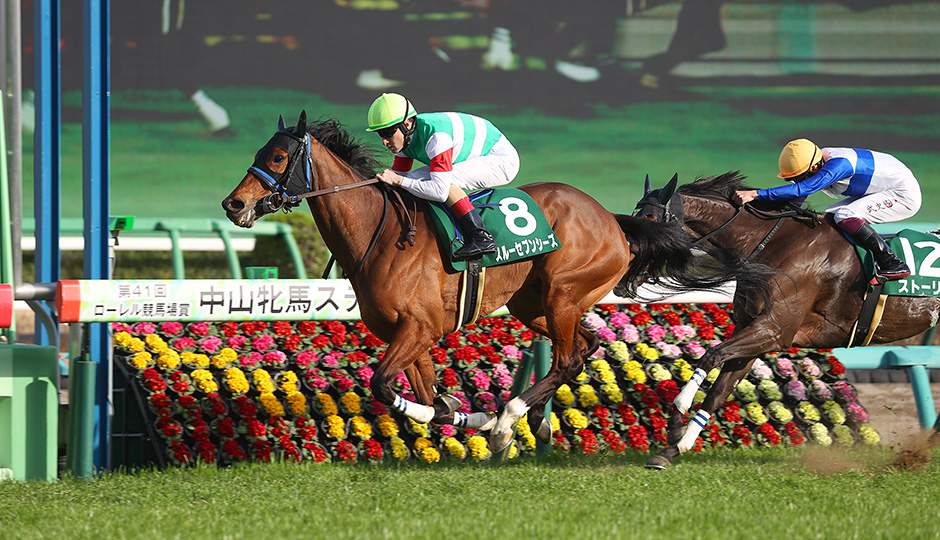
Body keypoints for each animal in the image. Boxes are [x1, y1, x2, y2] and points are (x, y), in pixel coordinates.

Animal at [221, 111, 772, 453]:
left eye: (277, 158)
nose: (233, 203)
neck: (380, 236)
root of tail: (615, 222)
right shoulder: (410, 335)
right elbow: (428, 395)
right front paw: (462, 417)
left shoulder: (418, 329)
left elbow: (383, 385)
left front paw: (483, 422)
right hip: (536, 304)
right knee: (586, 347)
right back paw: (523, 421)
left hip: (563, 292)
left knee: (570, 356)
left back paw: (510, 420)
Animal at [635, 171, 940, 469]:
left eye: (651, 219)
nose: (630, 266)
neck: (775, 245)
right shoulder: (753, 328)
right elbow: (719, 391)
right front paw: (673, 448)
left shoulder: (775, 330)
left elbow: (711, 356)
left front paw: (678, 414)